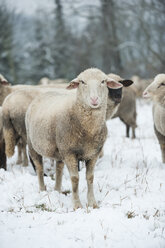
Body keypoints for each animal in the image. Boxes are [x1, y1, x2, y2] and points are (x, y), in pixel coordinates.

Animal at [24, 67, 122, 207]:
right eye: (82, 82)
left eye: (103, 81)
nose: (94, 100)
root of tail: (44, 93)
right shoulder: (70, 153)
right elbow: (75, 179)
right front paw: (77, 205)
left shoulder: (93, 153)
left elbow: (90, 178)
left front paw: (93, 203)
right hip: (33, 145)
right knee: (39, 168)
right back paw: (42, 190)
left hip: (60, 149)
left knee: (59, 168)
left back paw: (57, 190)